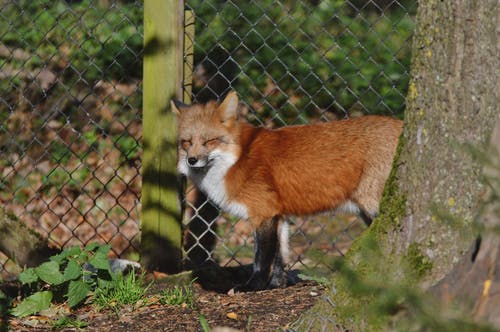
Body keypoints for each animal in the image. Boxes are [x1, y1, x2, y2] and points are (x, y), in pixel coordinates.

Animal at [171, 91, 402, 290]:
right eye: (187, 142)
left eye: (209, 141)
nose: (192, 160)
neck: (238, 158)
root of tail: (400, 124)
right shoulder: (279, 215)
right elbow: (281, 257)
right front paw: (276, 285)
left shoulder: (263, 214)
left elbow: (261, 259)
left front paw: (252, 287)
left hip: (373, 207)